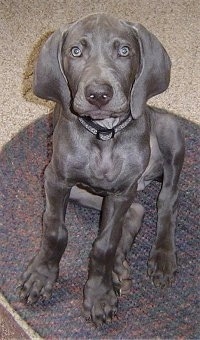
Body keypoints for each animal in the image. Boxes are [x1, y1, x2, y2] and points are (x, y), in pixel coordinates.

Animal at [19, 13, 185, 326]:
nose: (98, 95)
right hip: (81, 190)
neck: (104, 134)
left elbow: (104, 244)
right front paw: (42, 276)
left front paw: (99, 295)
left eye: (124, 51)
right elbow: (54, 230)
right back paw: (120, 266)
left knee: (166, 200)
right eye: (75, 51)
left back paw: (162, 257)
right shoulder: (56, 180)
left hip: (171, 131)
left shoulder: (120, 192)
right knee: (137, 210)